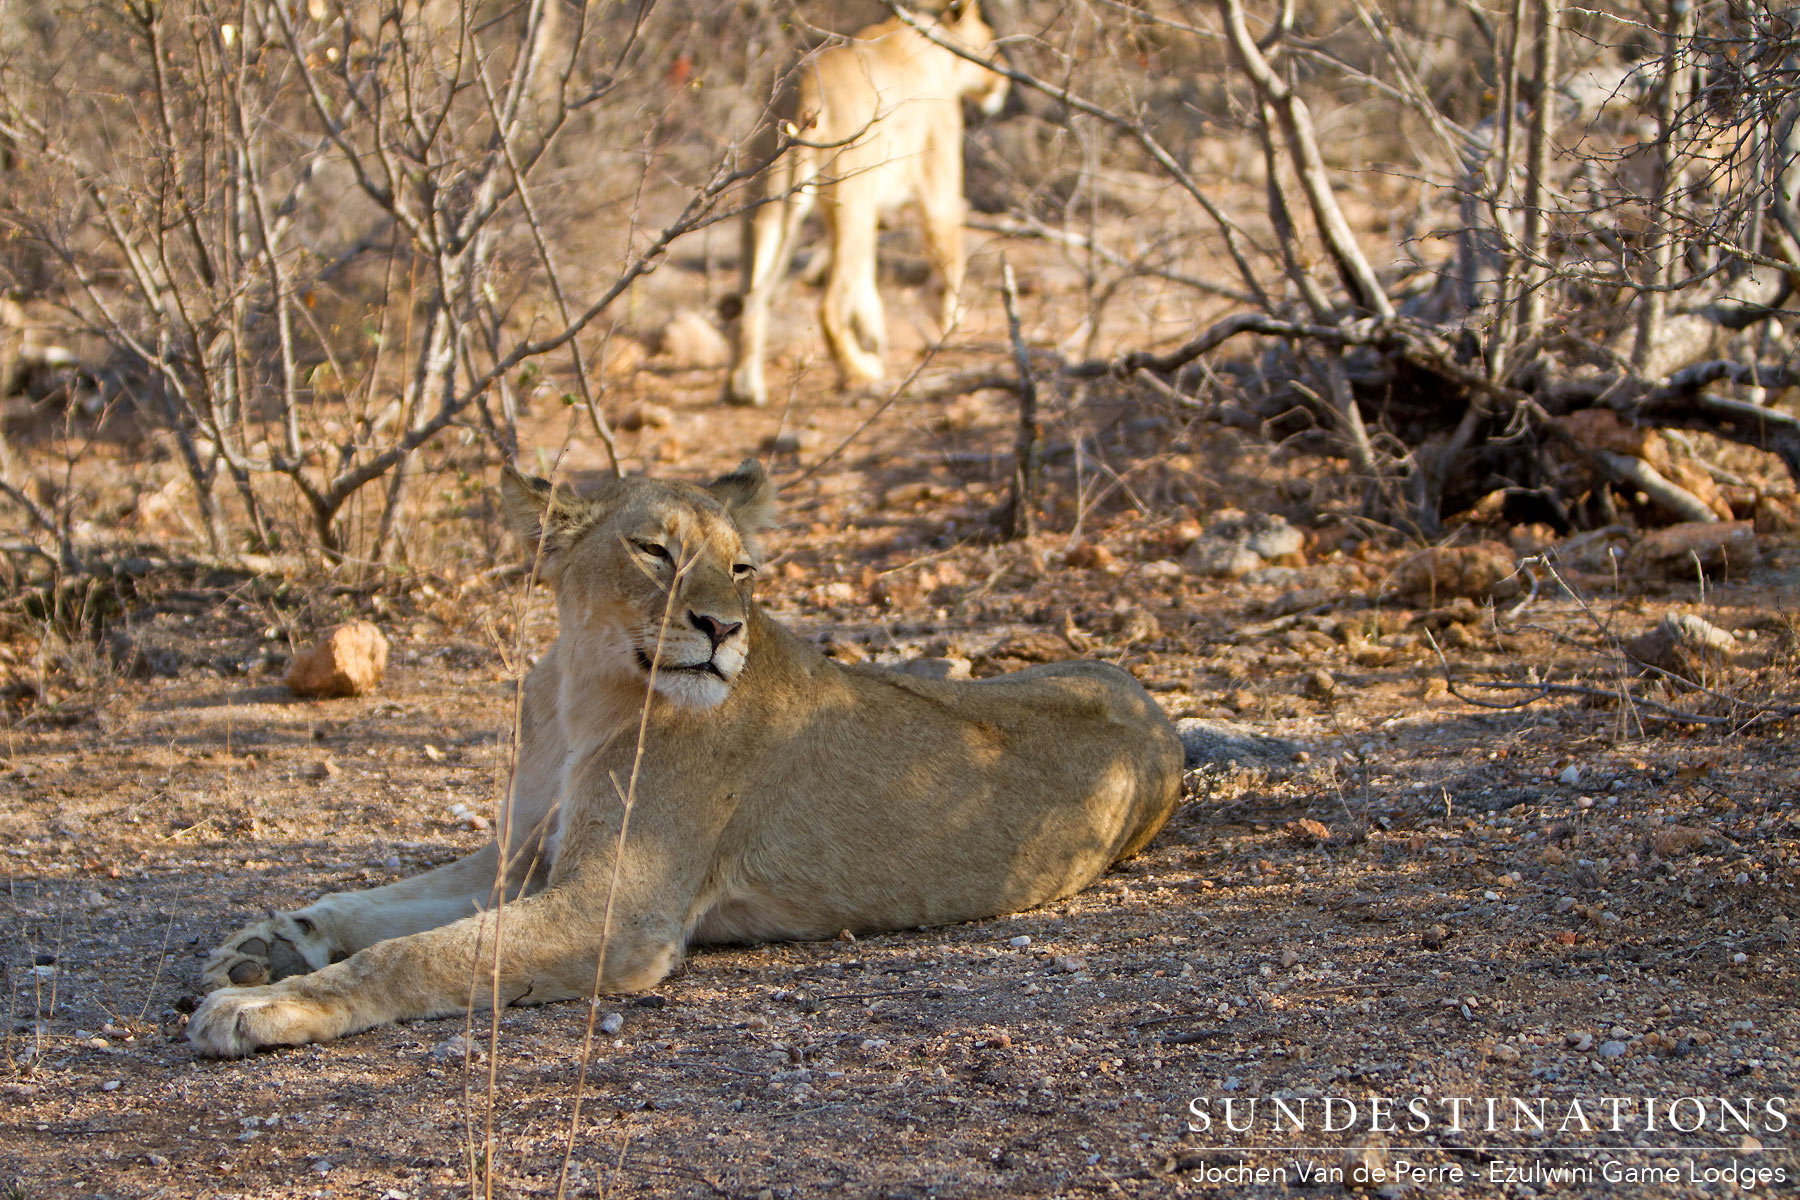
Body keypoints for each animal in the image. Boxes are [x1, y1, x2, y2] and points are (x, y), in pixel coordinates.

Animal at [188, 459, 1182, 1057]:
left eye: (743, 569)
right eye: (654, 551)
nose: (722, 628)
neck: (582, 693)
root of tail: (1153, 702)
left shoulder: (619, 911)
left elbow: (417, 955)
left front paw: (258, 1006)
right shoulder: (515, 857)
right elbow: (375, 904)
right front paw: (264, 947)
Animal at [722, 1, 1009, 407]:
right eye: (991, 42)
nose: (1004, 81)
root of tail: (802, 92)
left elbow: (866, 280)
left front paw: (875, 335)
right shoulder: (938, 179)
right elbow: (948, 250)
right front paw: (949, 320)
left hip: (764, 204)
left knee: (750, 295)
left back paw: (744, 385)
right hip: (851, 200)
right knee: (828, 307)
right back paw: (859, 372)